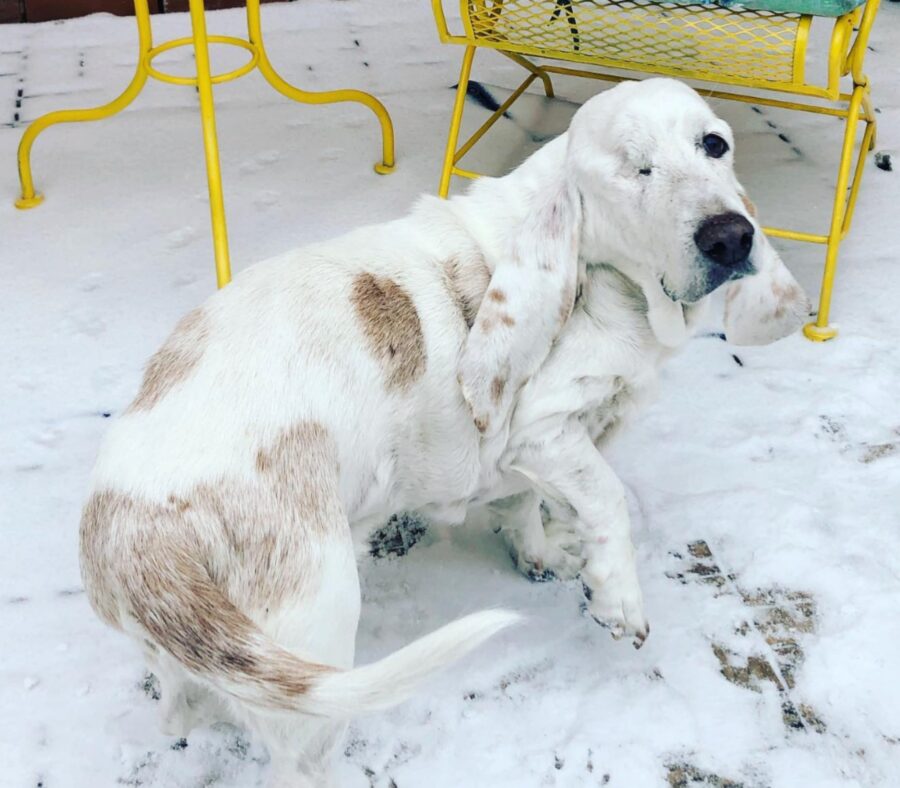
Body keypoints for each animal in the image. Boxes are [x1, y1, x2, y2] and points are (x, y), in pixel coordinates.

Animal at [77, 77, 808, 784]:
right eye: (635, 169)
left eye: (714, 145)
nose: (730, 237)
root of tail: (133, 537)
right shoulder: (542, 429)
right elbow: (607, 497)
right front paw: (617, 595)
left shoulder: (533, 457)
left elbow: (526, 505)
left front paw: (540, 556)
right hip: (315, 653)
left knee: (181, 707)